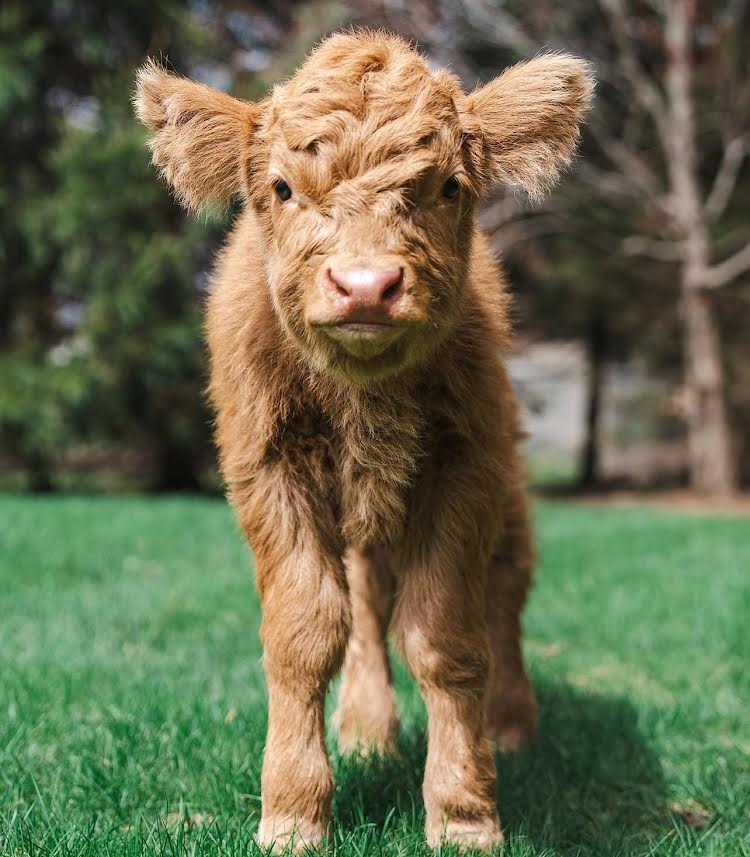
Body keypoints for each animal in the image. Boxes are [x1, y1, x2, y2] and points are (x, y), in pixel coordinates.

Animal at [134, 29, 593, 852]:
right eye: (283, 188)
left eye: (448, 187)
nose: (366, 285)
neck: (362, 396)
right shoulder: (268, 472)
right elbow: (306, 632)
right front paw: (292, 812)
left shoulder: (466, 468)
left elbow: (446, 636)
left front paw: (465, 814)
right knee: (367, 606)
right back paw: (367, 728)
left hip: (507, 488)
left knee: (505, 592)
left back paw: (511, 728)